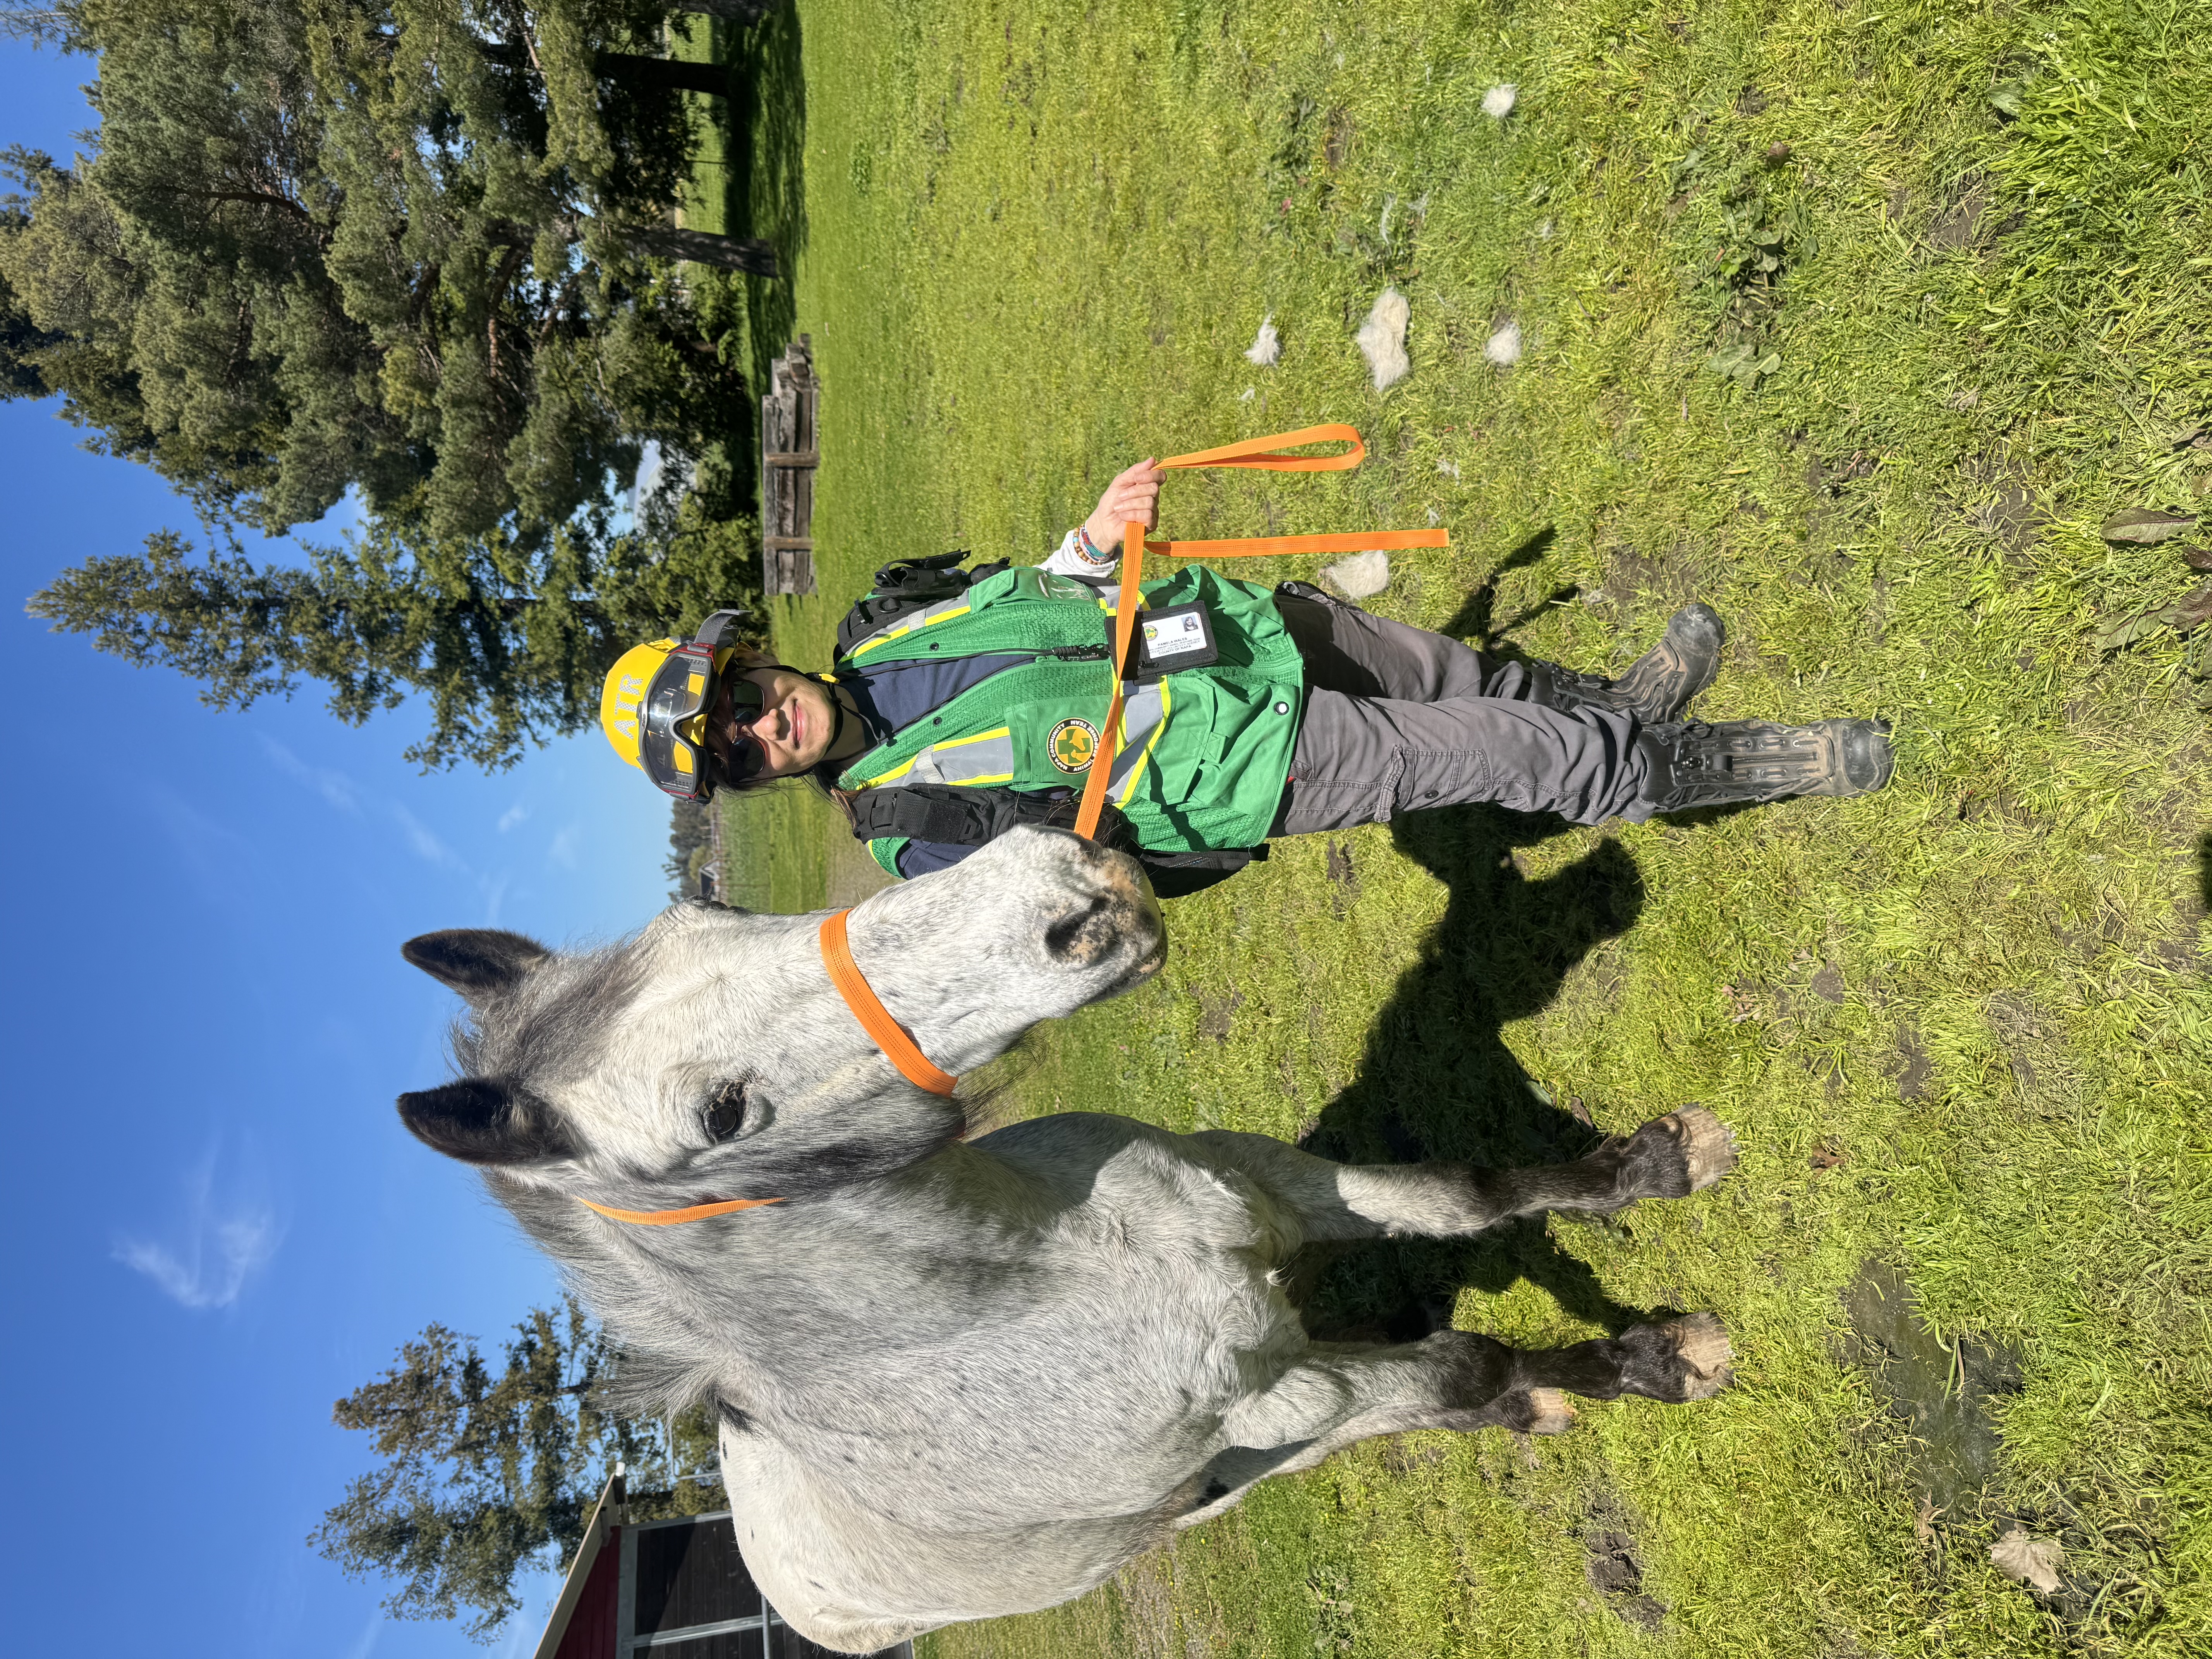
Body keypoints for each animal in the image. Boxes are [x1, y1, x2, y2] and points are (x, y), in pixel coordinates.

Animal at [395, 827, 1737, 1652]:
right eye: (719, 1115)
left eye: (714, 903)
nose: (1071, 897)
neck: (1046, 1274)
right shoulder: (1285, 1393)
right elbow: (1462, 1363)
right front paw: (1646, 1363)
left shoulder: (1283, 1187)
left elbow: (1469, 1192)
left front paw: (1653, 1171)